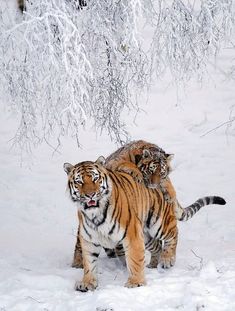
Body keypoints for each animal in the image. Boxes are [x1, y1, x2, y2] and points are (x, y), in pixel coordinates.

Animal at [63, 158, 226, 292]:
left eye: (95, 179)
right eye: (79, 181)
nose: (90, 194)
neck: (94, 214)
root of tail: (162, 181)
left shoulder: (132, 234)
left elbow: (134, 259)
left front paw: (135, 283)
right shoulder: (89, 240)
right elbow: (89, 263)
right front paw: (87, 283)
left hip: (159, 224)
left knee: (173, 234)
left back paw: (167, 260)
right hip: (146, 236)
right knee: (157, 246)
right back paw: (154, 264)